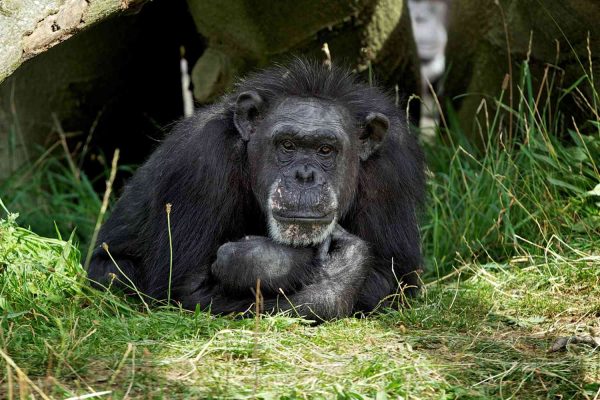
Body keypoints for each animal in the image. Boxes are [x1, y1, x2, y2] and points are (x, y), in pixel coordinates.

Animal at [89, 58, 426, 322]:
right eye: (287, 145)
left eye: (325, 149)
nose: (304, 175)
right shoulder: (200, 163)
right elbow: (186, 291)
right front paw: (325, 268)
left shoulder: (391, 170)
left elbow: (390, 277)